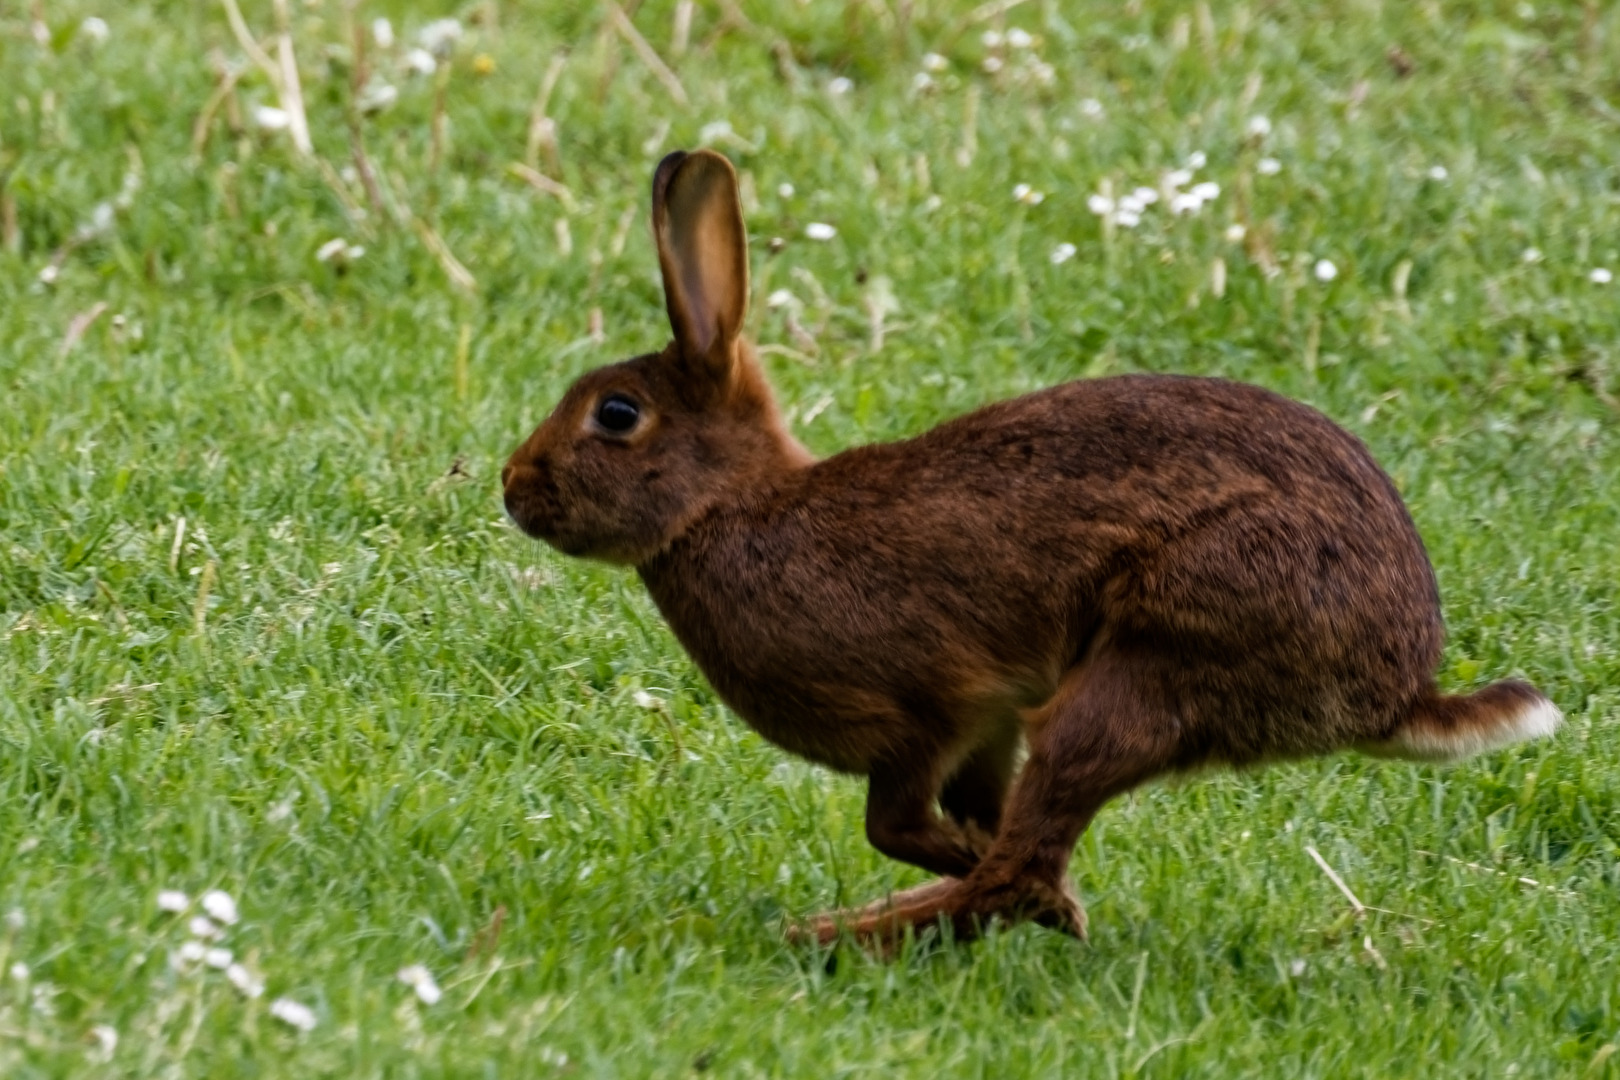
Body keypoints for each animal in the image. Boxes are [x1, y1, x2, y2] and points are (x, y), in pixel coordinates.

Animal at [502, 148, 1562, 947]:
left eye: (616, 414)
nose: (514, 488)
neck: (733, 508)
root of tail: (1396, 689)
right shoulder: (984, 732)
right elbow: (966, 811)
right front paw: (1019, 876)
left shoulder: (923, 708)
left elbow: (893, 821)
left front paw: (984, 872)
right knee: (1025, 858)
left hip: (1143, 673)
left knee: (1015, 870)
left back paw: (836, 935)